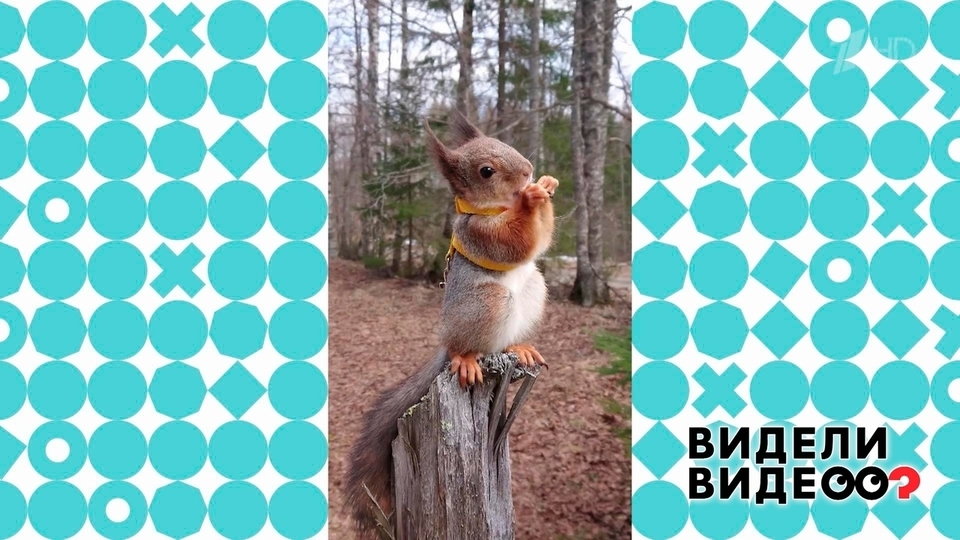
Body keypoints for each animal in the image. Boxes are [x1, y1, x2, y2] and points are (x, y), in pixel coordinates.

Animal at [343, 110, 558, 538]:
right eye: (486, 171)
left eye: (505, 144)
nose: (528, 170)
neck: (495, 209)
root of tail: (447, 341)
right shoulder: (477, 233)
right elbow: (516, 242)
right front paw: (531, 199)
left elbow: (539, 241)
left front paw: (546, 185)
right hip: (483, 307)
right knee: (468, 345)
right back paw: (465, 359)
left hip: (532, 291)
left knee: (505, 342)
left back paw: (519, 347)